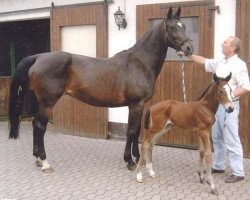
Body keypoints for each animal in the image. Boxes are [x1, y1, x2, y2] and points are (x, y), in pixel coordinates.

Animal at [8, 6, 193, 172]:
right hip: (48, 102)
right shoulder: (135, 104)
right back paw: (45, 162)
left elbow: (137, 132)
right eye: (172, 27)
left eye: (184, 25)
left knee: (35, 124)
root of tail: (39, 57)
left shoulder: (140, 105)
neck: (140, 62)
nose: (189, 48)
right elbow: (131, 131)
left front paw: (136, 157)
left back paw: (38, 160)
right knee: (40, 126)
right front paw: (130, 161)